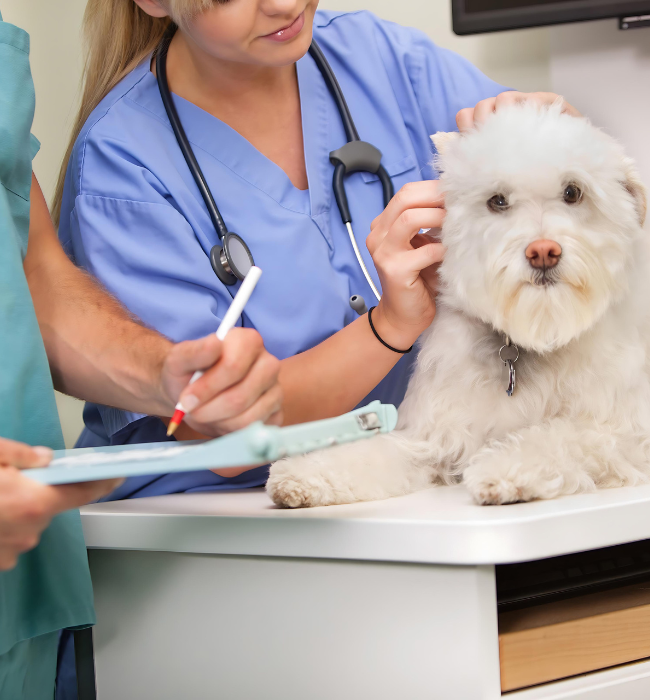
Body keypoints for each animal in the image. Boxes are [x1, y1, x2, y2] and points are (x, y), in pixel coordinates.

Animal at [266, 101, 644, 508]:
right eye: (497, 201)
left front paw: (503, 469)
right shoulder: (426, 437)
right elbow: (373, 453)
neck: (530, 340)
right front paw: (302, 472)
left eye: (573, 192)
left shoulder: (623, 434)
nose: (543, 252)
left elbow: (560, 436)